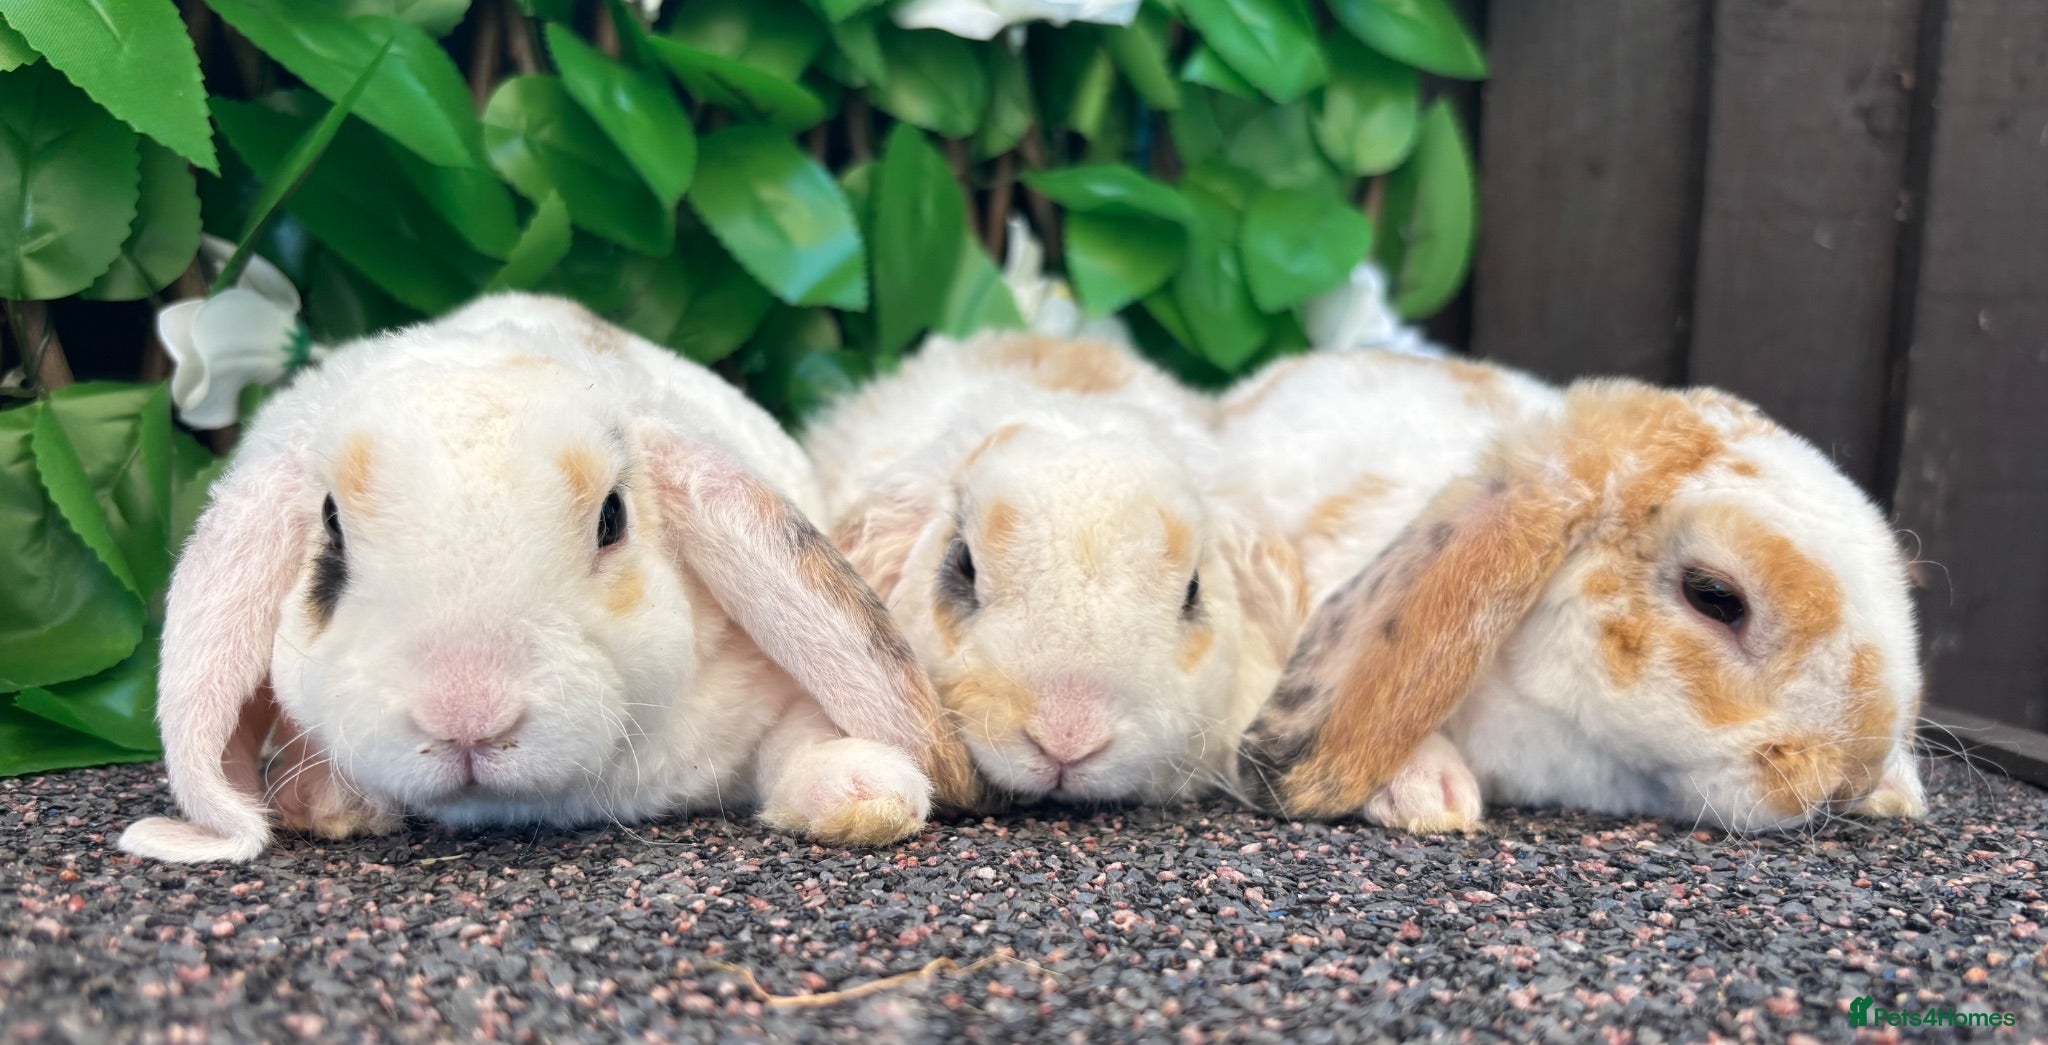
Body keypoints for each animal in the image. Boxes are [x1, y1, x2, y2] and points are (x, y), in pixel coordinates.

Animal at [117, 293, 976, 863]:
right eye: (330, 530)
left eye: (612, 518)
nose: (467, 714)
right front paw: (324, 799)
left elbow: (798, 734)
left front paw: (864, 793)